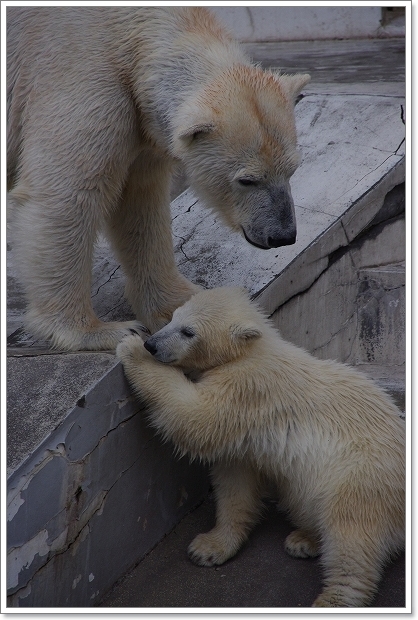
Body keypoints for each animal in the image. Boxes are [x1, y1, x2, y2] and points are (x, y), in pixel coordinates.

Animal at [4, 7, 308, 352]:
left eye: (292, 169)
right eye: (248, 180)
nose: (282, 235)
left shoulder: (139, 121)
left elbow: (139, 203)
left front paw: (180, 302)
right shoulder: (82, 74)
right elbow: (67, 196)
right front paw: (100, 330)